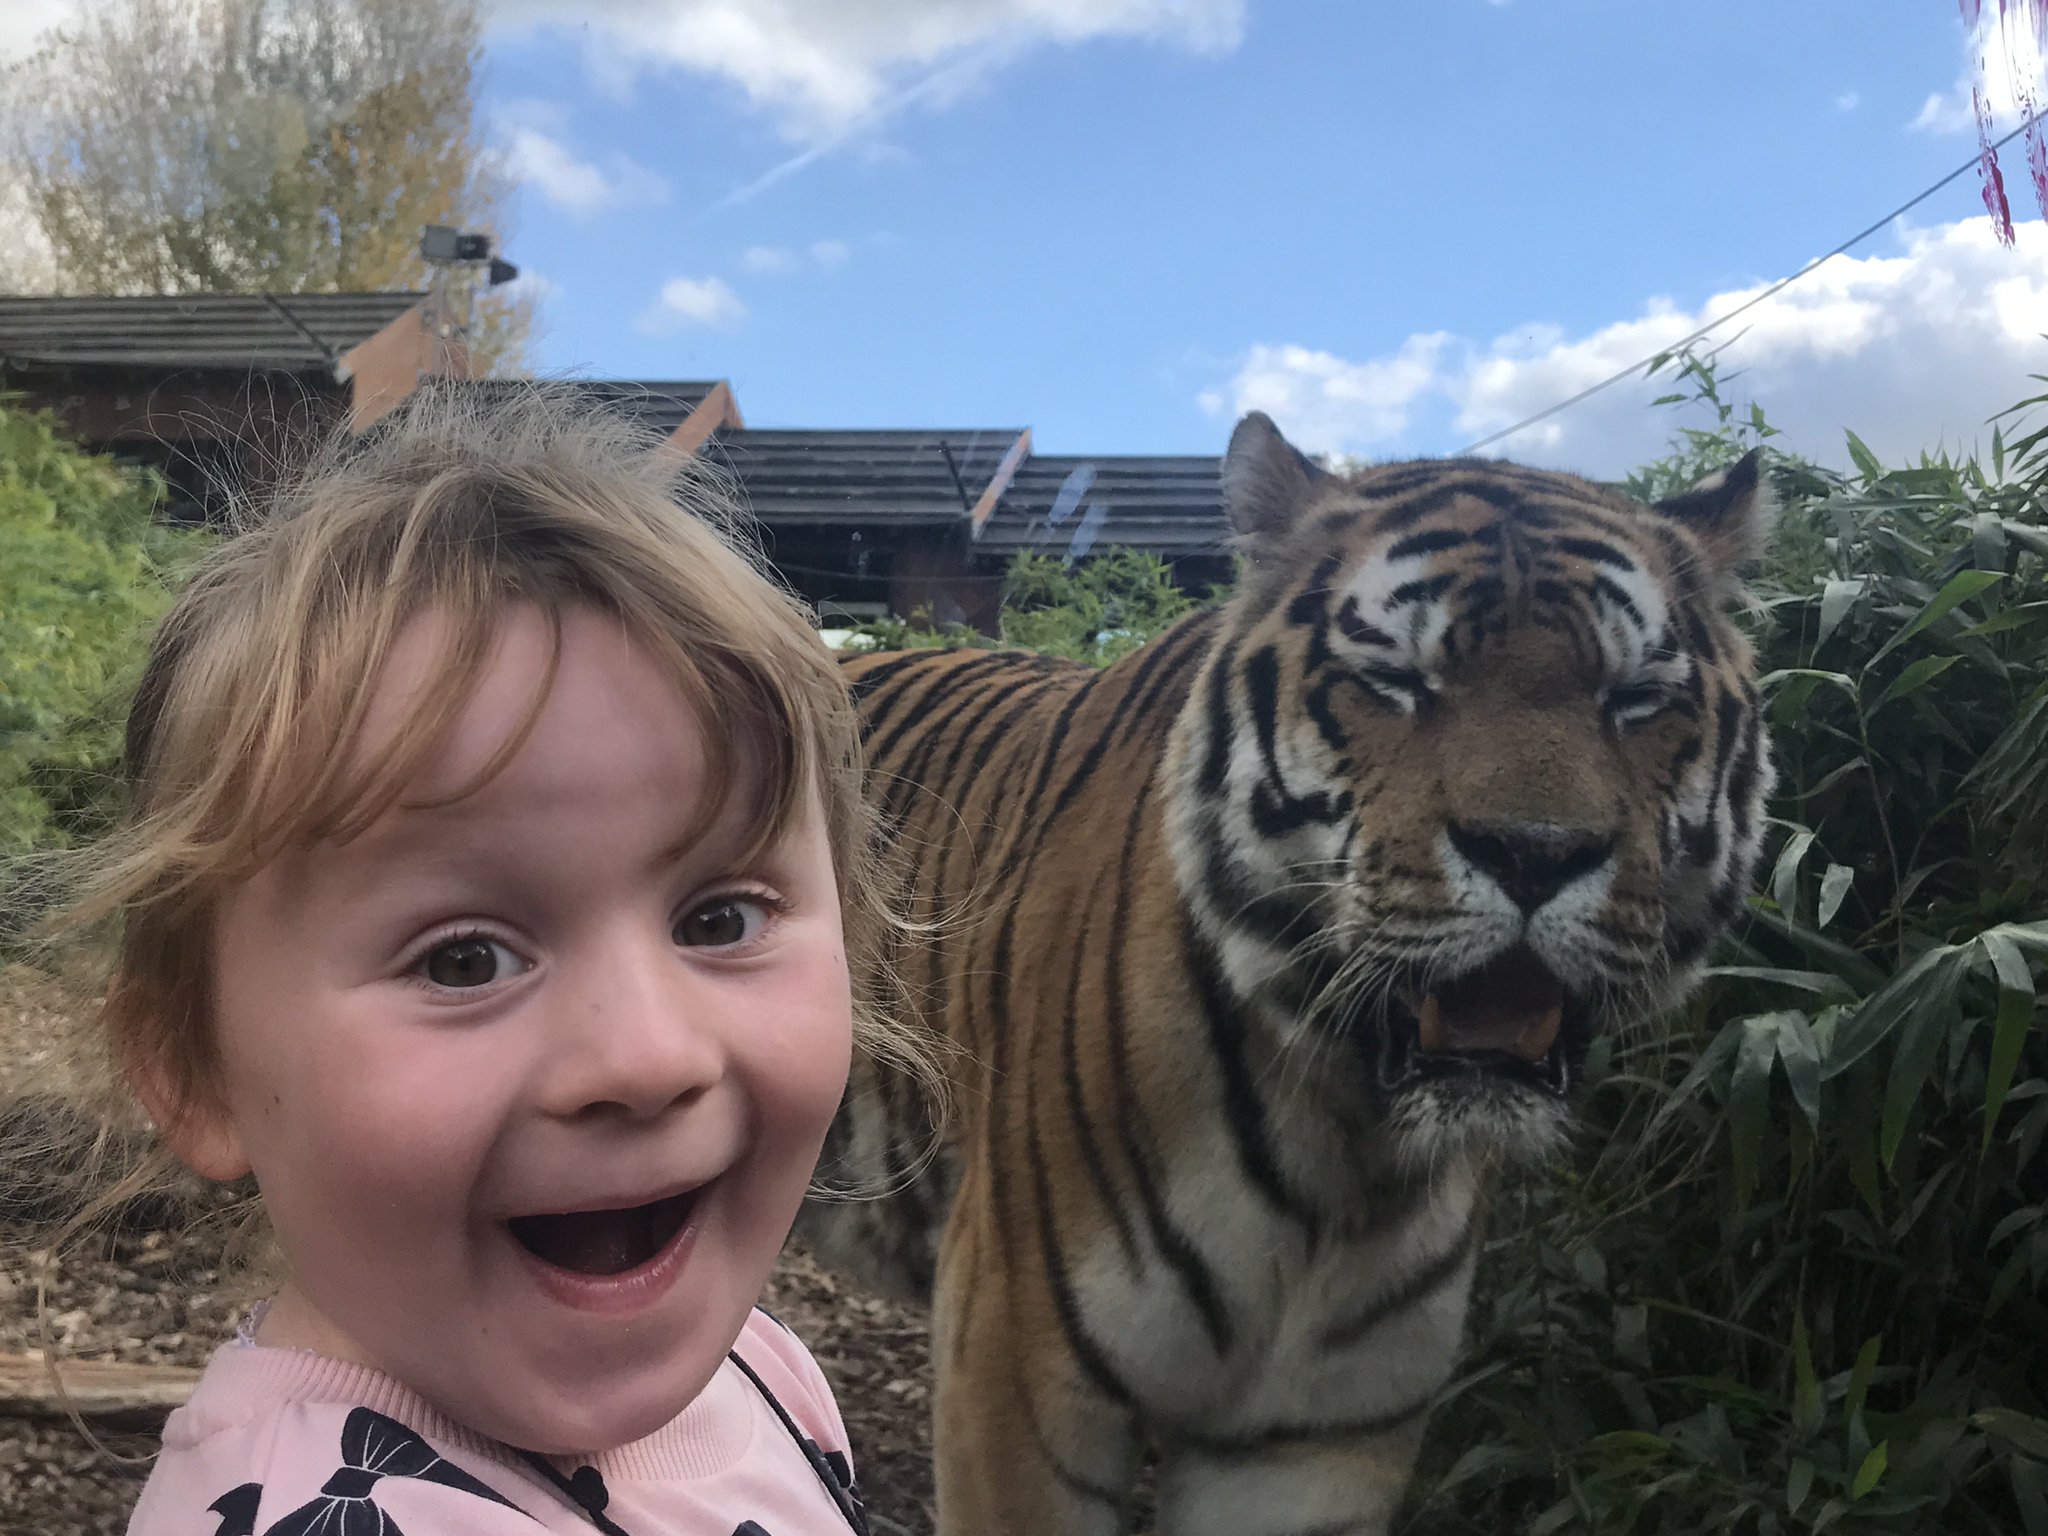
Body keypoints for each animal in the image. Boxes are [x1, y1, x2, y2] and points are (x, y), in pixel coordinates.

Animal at [800, 412, 1775, 1536]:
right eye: (1394, 684)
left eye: (1637, 700)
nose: (1534, 854)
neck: (1348, 1154)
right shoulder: (1019, 1382)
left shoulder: (1314, 1443)